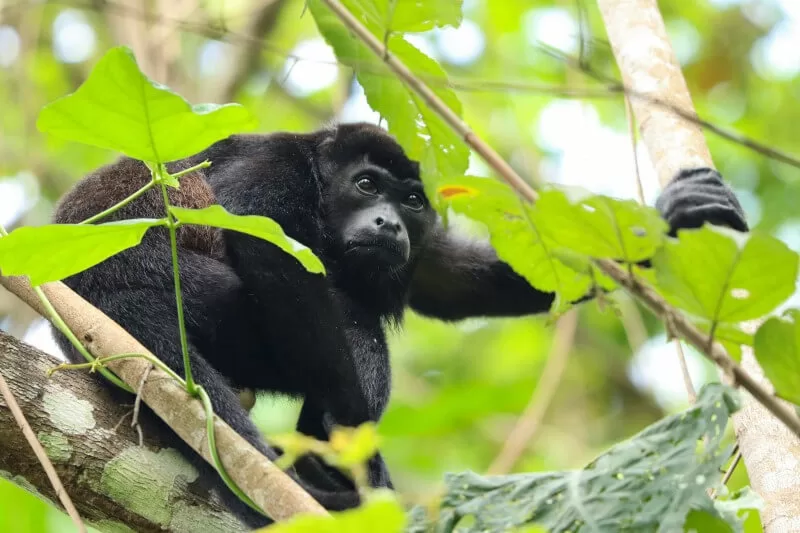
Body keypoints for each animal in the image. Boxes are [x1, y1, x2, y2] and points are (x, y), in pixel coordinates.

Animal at [50, 122, 748, 527]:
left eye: (411, 200)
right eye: (366, 186)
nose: (388, 222)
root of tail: (89, 303)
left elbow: (450, 281)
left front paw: (669, 221)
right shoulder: (271, 168)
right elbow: (273, 256)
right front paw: (362, 458)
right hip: (184, 295)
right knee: (350, 321)